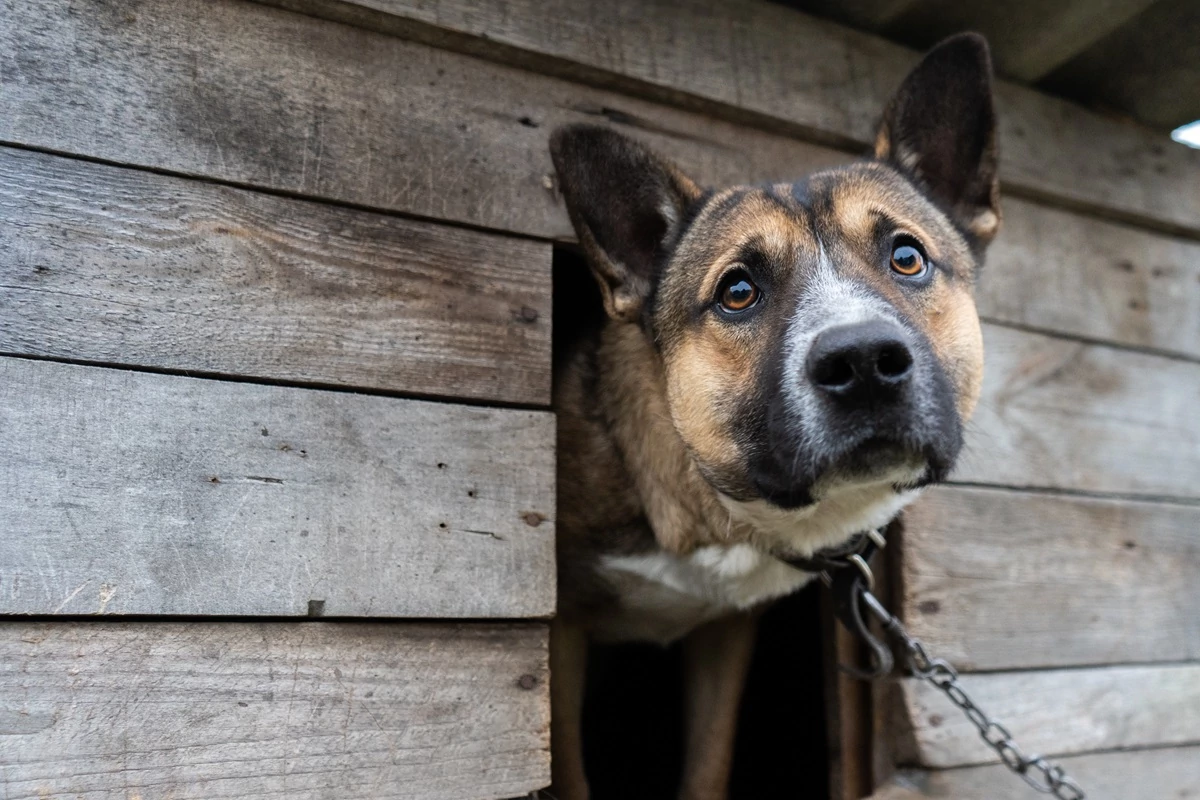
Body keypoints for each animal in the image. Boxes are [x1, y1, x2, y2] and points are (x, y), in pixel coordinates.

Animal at [549, 32, 998, 800]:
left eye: (907, 257)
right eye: (738, 292)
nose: (864, 360)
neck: (718, 512)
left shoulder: (724, 639)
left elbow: (708, 762)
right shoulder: (560, 636)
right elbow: (569, 774)